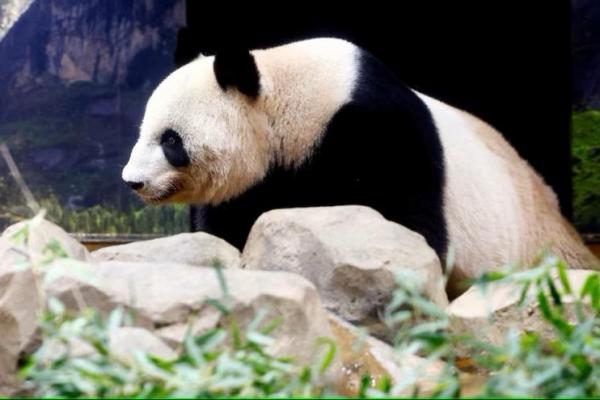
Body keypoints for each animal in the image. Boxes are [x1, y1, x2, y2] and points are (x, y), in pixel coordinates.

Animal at [123, 37, 600, 294]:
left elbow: (409, 223)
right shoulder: (261, 177)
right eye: (143, 131)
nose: (133, 182)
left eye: (170, 140)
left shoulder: (378, 130)